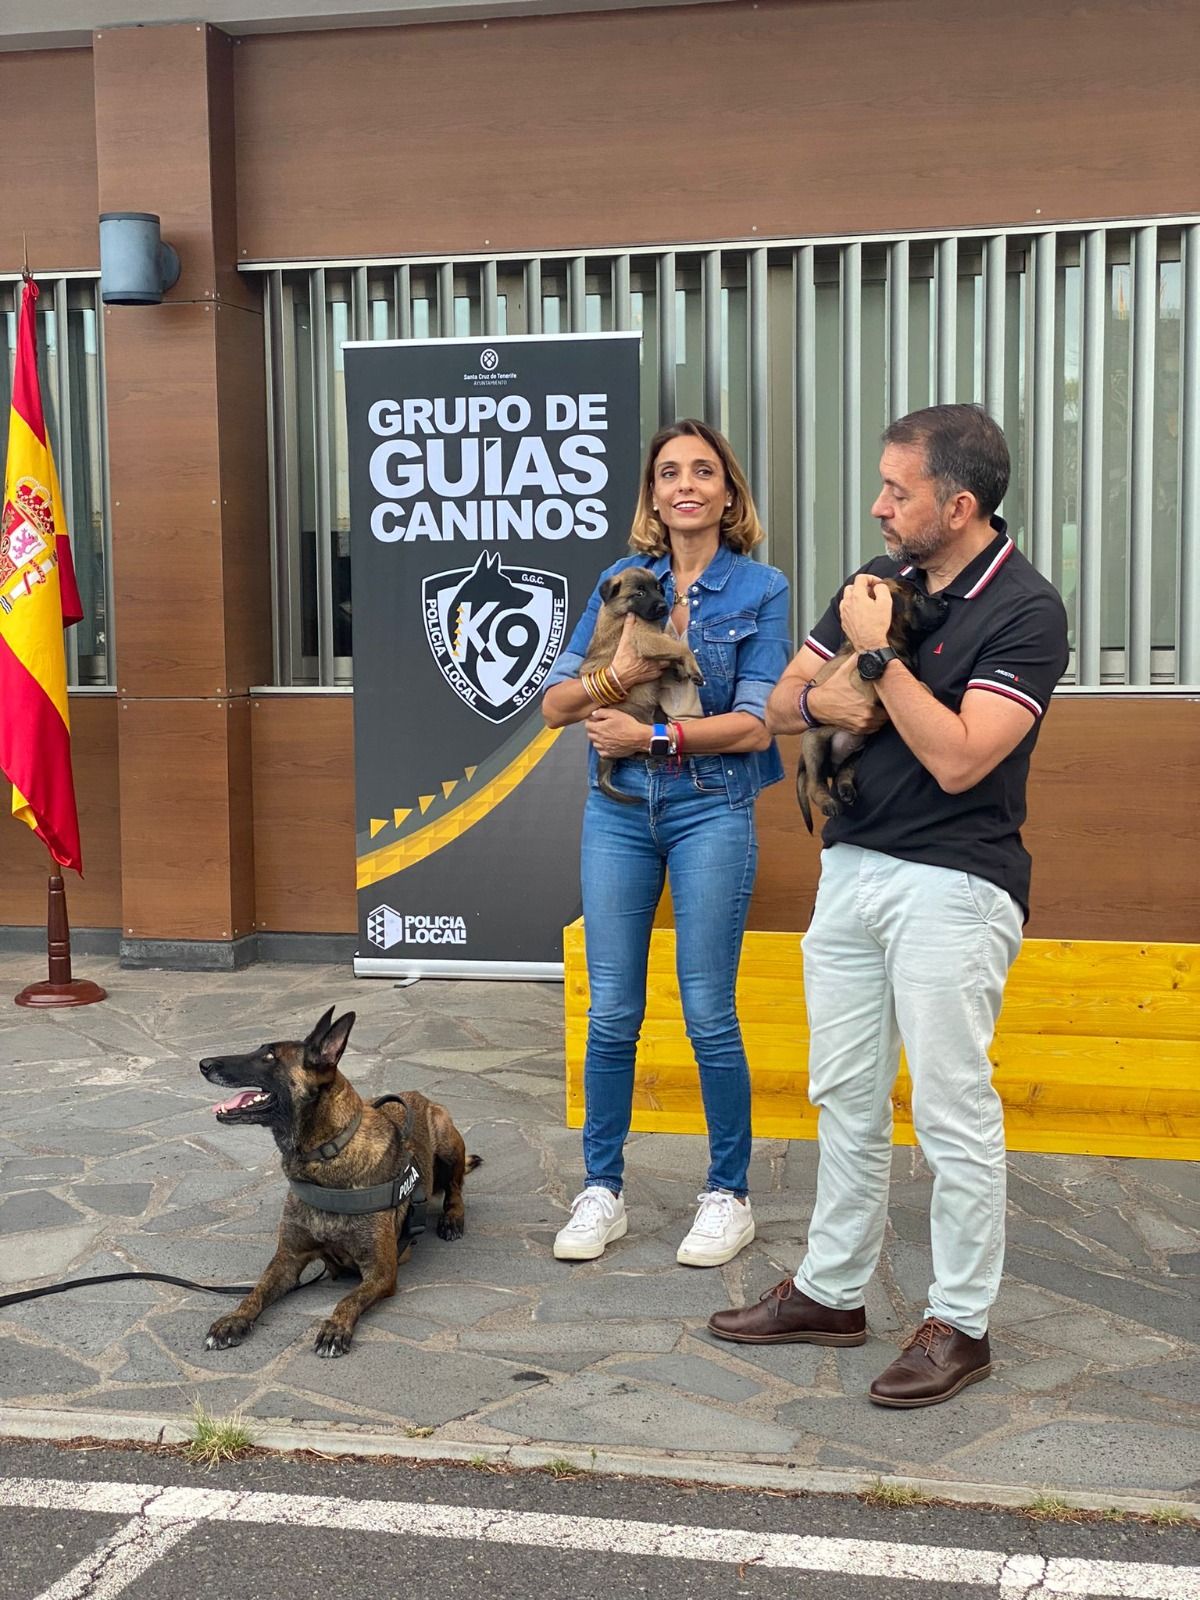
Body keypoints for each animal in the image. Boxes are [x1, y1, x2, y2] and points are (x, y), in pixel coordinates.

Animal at [200, 1004, 483, 1356]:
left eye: (268, 1057)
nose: (203, 1064)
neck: (324, 1156)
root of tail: (417, 1095)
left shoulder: (381, 1272)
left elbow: (348, 1300)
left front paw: (335, 1328)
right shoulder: (288, 1259)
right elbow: (257, 1291)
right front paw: (233, 1320)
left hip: (446, 1137)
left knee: (456, 1188)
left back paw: (452, 1219)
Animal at [800, 576, 947, 832]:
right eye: (918, 598)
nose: (945, 603)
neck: (892, 640)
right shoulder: (866, 684)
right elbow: (920, 684)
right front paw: (928, 691)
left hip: (857, 751)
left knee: (842, 772)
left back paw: (846, 790)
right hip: (814, 743)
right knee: (814, 784)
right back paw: (829, 802)